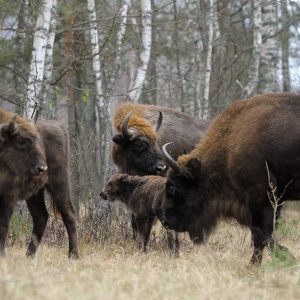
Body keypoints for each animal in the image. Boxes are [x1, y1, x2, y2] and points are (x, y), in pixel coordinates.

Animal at [0, 109, 78, 258]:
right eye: (21, 141)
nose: (42, 168)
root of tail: (59, 126)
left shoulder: (9, 196)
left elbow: (3, 225)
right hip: (35, 192)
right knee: (41, 216)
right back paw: (29, 256)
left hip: (59, 182)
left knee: (69, 213)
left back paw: (73, 256)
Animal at [161, 92, 300, 264]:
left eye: (172, 186)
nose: (165, 221)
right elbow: (261, 234)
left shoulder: (260, 198)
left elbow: (260, 234)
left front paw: (279, 259)